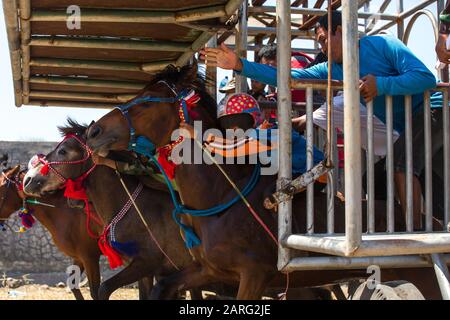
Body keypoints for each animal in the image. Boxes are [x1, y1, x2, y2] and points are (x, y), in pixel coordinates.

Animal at [79, 65, 442, 300]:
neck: (221, 195)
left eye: (144, 102)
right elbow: (160, 287)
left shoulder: (254, 276)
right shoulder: (208, 270)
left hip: (427, 275)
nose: (93, 132)